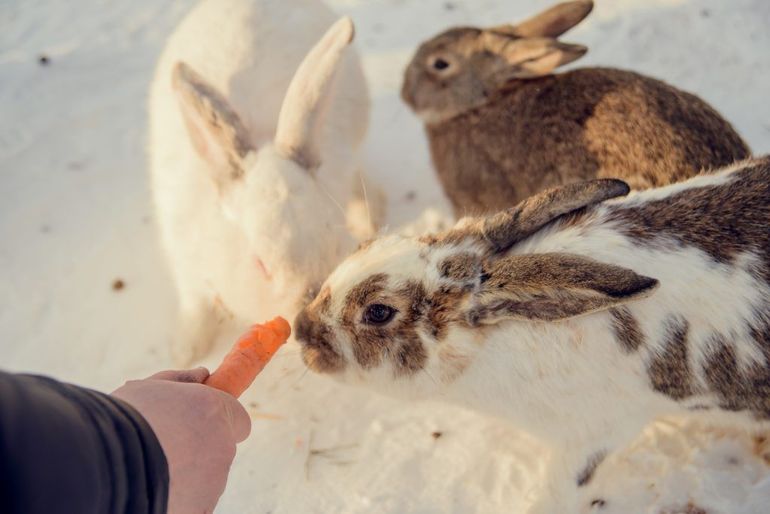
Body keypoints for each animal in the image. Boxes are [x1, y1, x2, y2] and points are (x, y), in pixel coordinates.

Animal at [148, 16, 369, 365]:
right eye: (260, 264)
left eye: (335, 244)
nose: (308, 318)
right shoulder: (186, 264)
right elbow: (194, 304)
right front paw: (185, 351)